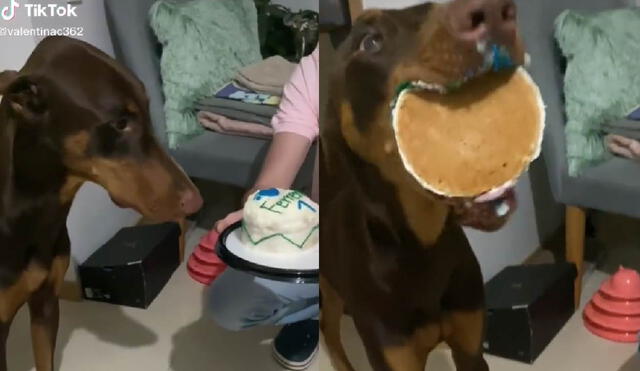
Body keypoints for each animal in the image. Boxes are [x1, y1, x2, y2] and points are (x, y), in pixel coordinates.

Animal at [322, 0, 528, 371]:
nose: (494, 13)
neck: (422, 246)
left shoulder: (470, 346)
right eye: (369, 42)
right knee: (329, 333)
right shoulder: (392, 353)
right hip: (327, 293)